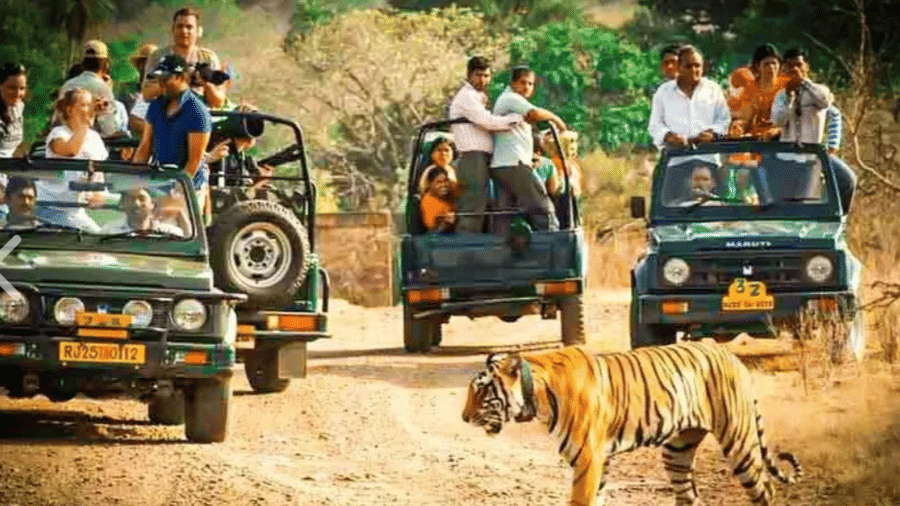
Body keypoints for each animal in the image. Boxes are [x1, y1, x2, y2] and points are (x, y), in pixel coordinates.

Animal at [461, 341, 802, 506]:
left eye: (481, 390)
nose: (464, 418)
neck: (537, 393)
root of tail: (732, 356)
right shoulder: (599, 462)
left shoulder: (588, 458)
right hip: (677, 450)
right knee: (689, 496)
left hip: (738, 441)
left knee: (766, 490)